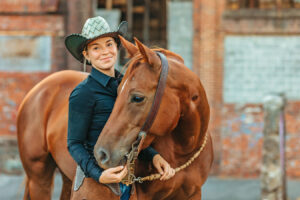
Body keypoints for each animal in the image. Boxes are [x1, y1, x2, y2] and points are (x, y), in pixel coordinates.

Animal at [17, 36, 213, 200]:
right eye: (118, 91)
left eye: (137, 97)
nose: (101, 154)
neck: (183, 151)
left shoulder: (193, 194)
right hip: (39, 179)